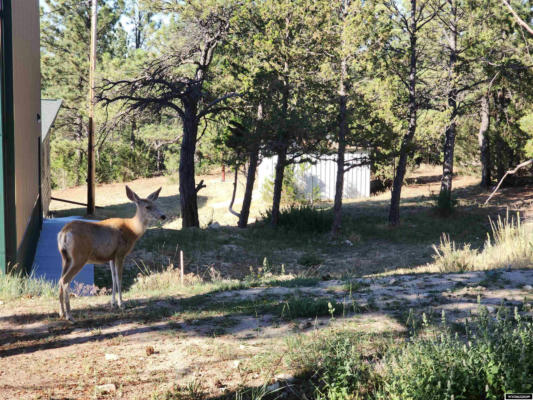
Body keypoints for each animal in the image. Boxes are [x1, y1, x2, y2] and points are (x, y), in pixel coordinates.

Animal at [57, 186, 165, 320]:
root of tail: (64, 232)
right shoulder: (120, 253)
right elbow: (119, 278)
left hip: (65, 258)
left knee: (59, 279)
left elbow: (113, 278)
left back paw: (61, 312)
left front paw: (113, 303)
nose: (163, 216)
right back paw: (69, 315)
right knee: (65, 280)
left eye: (155, 204)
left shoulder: (111, 257)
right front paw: (121, 304)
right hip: (79, 257)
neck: (133, 230)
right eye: (147, 207)